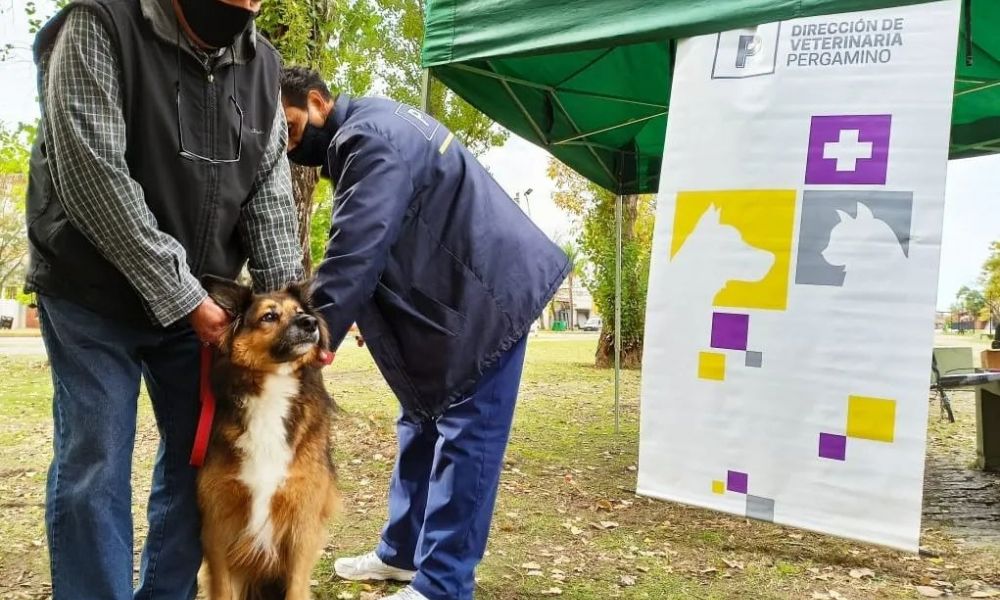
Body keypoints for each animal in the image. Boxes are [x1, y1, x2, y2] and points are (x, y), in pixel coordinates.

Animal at [197, 276, 342, 600]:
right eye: (269, 316)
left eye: (300, 311)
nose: (309, 322)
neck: (273, 388)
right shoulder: (218, 523)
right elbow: (222, 589)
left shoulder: (303, 520)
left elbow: (296, 588)